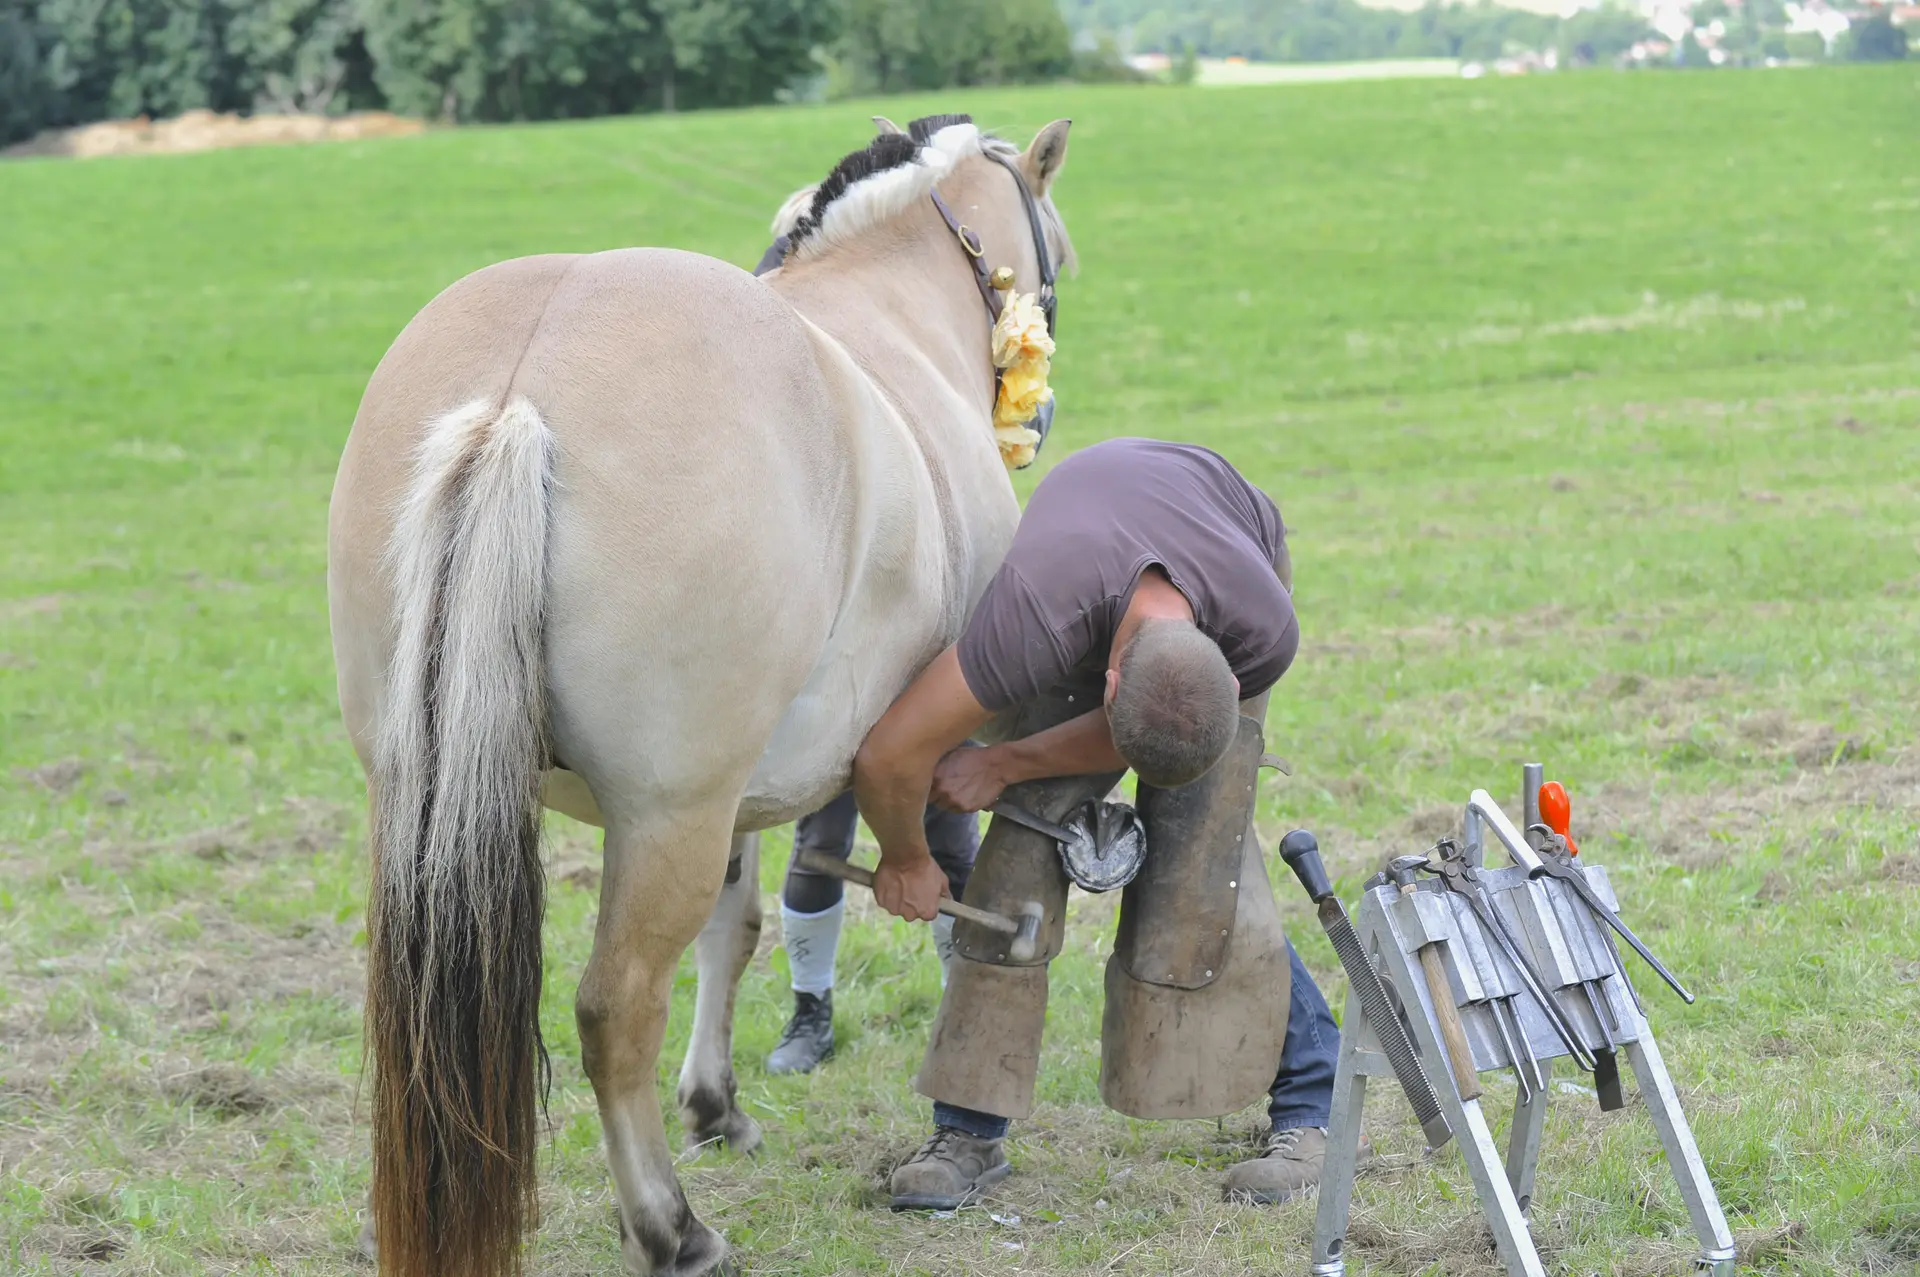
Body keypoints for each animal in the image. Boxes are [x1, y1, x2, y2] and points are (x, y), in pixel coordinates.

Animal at [326, 113, 1073, 1277]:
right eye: (1061, 258)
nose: (1038, 427)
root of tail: (516, 392)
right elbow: (953, 889)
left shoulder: (745, 791)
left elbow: (743, 922)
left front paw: (717, 1102)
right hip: (666, 813)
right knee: (613, 1010)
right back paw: (672, 1227)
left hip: (437, 799)